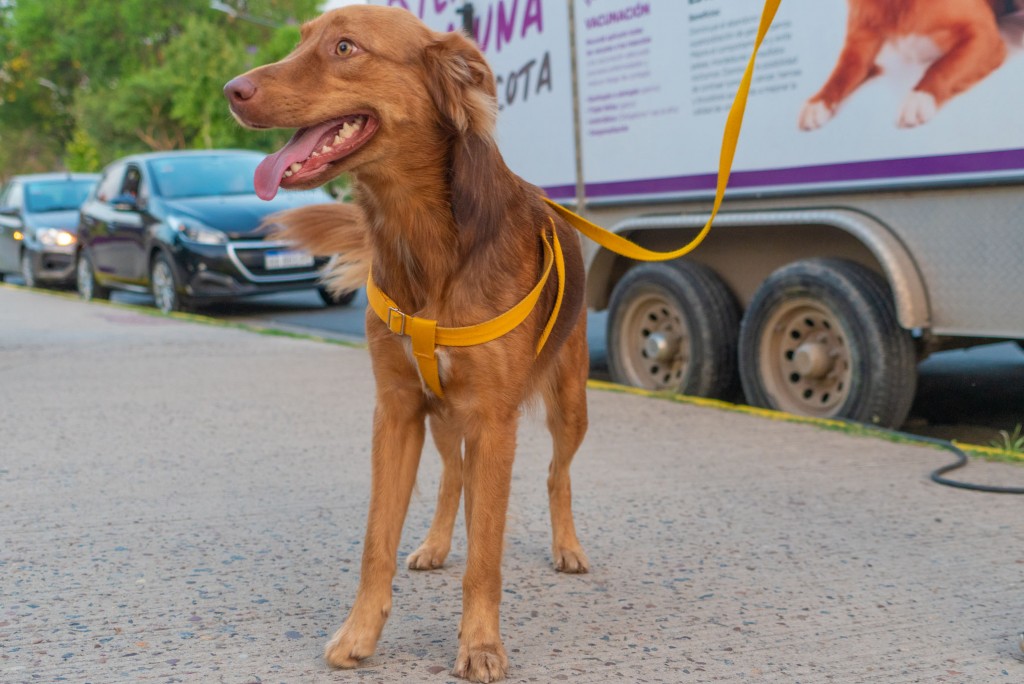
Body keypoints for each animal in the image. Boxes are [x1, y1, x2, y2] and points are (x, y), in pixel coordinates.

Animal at [227, 3, 589, 679]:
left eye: (345, 47)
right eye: (301, 41)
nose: (232, 90)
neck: (418, 234)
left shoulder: (494, 420)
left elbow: (487, 554)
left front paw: (480, 644)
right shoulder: (396, 409)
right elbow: (377, 540)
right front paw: (360, 633)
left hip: (568, 403)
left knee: (557, 473)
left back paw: (567, 546)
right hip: (441, 414)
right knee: (453, 476)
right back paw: (437, 542)